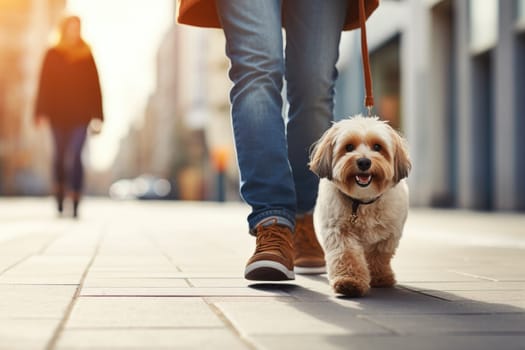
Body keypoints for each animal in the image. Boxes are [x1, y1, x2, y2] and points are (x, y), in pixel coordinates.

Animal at [310, 116, 412, 296]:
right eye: (349, 147)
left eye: (377, 147)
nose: (364, 162)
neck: (362, 201)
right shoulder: (339, 232)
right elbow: (346, 254)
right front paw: (349, 281)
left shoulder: (388, 235)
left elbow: (379, 256)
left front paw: (380, 277)